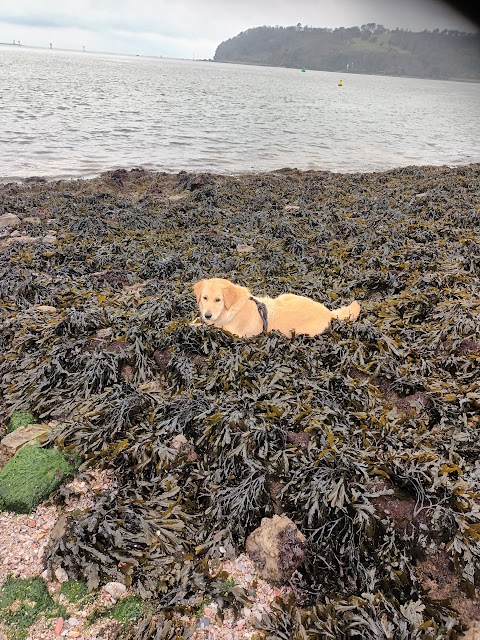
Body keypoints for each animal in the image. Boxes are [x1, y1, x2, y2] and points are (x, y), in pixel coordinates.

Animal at [192, 278, 360, 340]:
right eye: (205, 298)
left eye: (218, 300)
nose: (207, 315)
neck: (234, 309)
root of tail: (327, 312)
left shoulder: (236, 333)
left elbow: (214, 327)